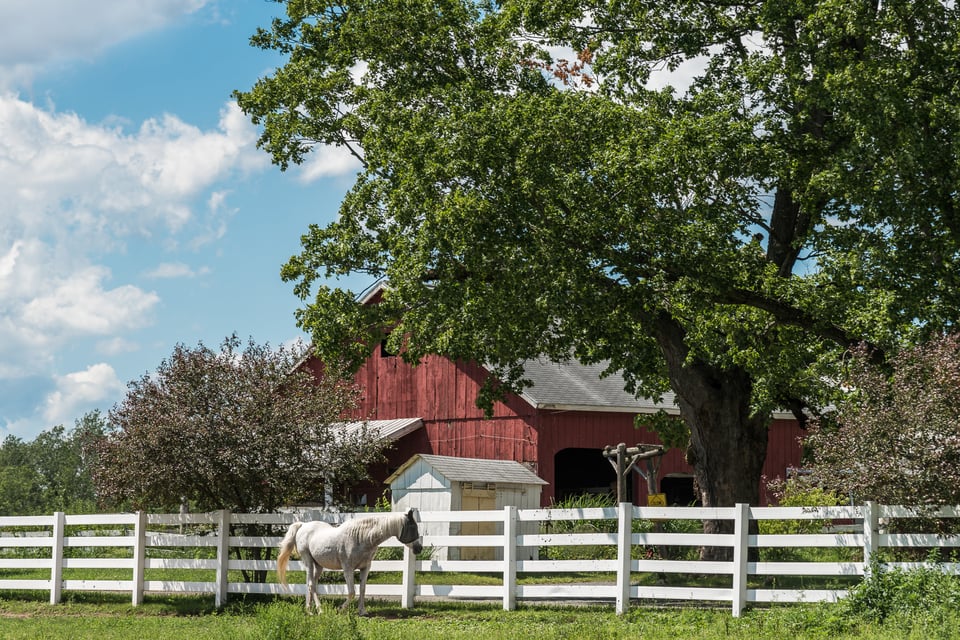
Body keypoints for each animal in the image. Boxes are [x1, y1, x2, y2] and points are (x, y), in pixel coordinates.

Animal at [276, 510, 422, 616]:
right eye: (413, 527)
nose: (419, 548)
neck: (361, 538)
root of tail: (303, 525)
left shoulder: (365, 568)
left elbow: (362, 589)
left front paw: (362, 611)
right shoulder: (348, 569)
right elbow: (352, 592)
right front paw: (340, 609)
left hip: (319, 566)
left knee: (313, 585)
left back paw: (313, 610)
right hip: (308, 562)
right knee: (311, 585)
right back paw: (316, 610)